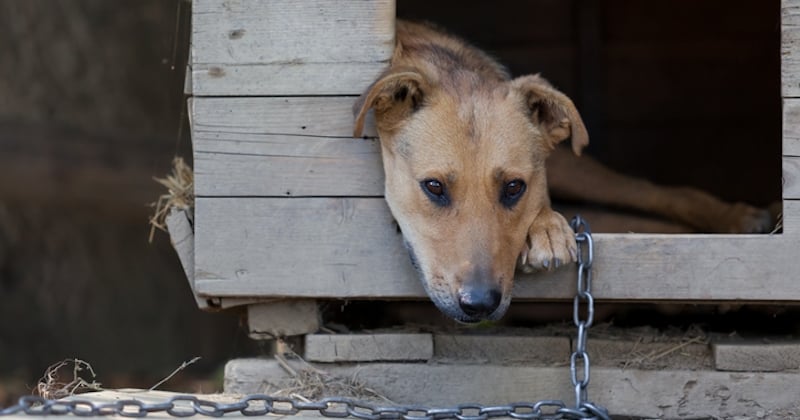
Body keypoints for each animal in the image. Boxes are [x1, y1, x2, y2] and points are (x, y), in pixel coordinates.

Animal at [354, 20, 772, 322]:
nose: (481, 303)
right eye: (434, 187)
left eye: (514, 187)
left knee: (654, 194)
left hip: (578, 167)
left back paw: (740, 222)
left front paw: (547, 228)